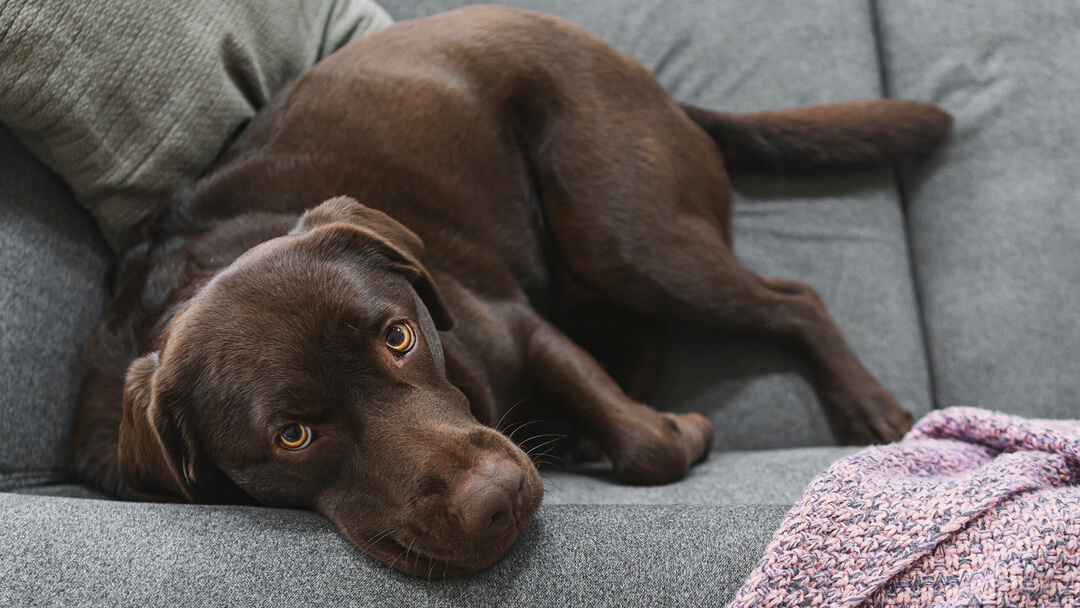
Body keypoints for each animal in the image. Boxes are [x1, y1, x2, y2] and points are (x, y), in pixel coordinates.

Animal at [71, 7, 950, 578]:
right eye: (292, 436)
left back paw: (868, 409)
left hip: (621, 232)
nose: (495, 499)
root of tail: (653, 84)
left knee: (791, 300)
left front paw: (676, 432)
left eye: (399, 337)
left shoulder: (518, 326)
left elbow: (649, 444)